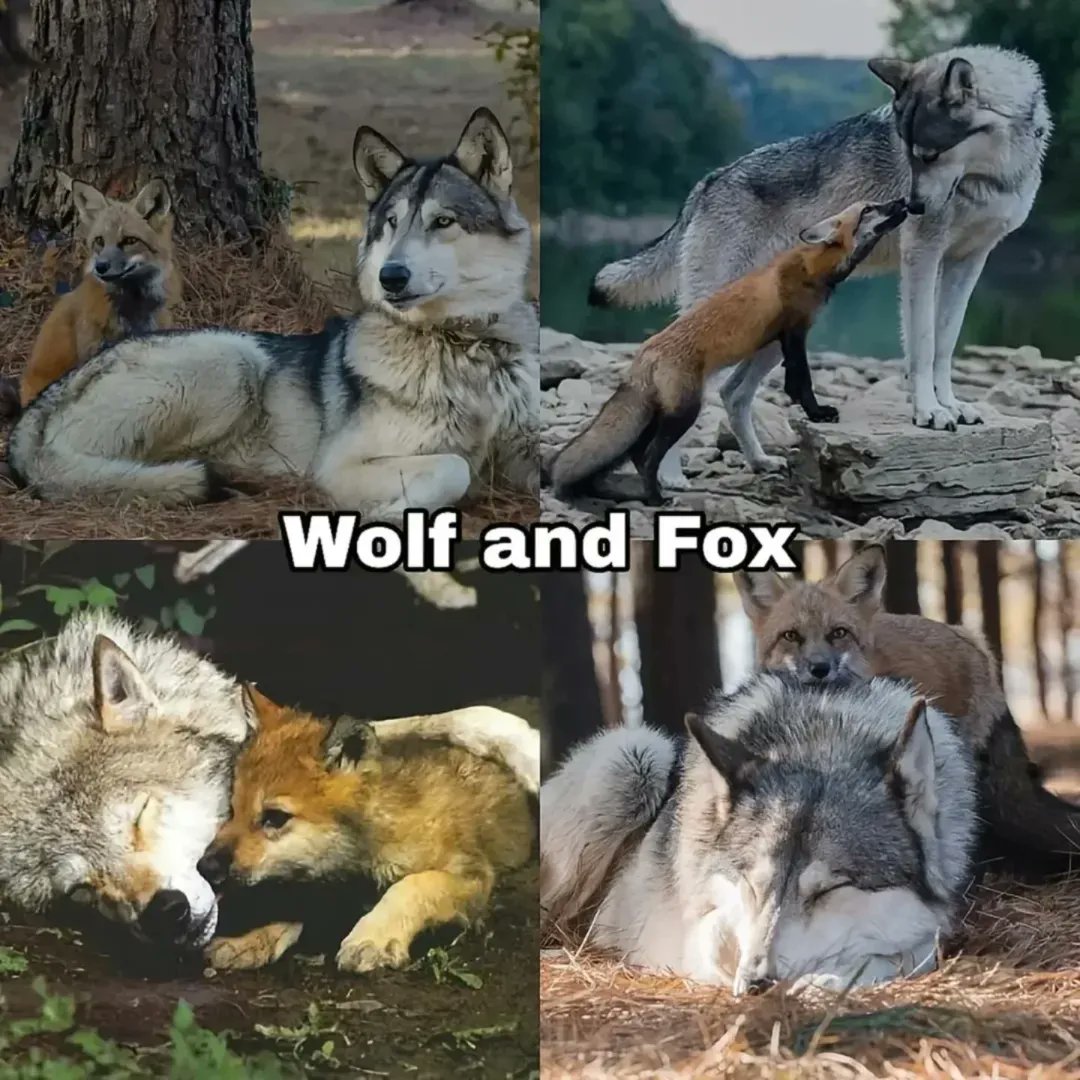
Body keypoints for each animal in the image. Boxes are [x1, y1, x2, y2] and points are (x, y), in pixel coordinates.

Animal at [197, 688, 534, 973]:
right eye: (232, 809)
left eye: (275, 817)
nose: (204, 866)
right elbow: (296, 902)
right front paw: (252, 940)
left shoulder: (472, 873)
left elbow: (412, 885)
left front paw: (372, 936)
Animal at [541, 675, 977, 995]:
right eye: (752, 884)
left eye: (829, 890)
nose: (756, 983)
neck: (820, 740)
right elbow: (712, 940)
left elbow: (912, 949)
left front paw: (829, 977)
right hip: (634, 757)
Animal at [550, 198, 909, 504]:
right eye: (869, 209)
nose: (904, 201)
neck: (811, 268)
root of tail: (645, 352)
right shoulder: (794, 332)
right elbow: (802, 382)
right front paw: (817, 412)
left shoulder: (784, 338)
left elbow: (793, 382)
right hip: (684, 411)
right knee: (650, 456)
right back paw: (657, 498)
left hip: (659, 414)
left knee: (639, 455)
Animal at [590, 47, 1050, 479]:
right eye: (911, 155)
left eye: (930, 155)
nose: (913, 206)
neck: (992, 174)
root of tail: (707, 182)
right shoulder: (922, 256)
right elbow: (922, 345)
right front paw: (929, 411)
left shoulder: (967, 262)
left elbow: (945, 344)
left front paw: (952, 405)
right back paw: (669, 478)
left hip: (777, 332)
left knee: (733, 394)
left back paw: (759, 461)